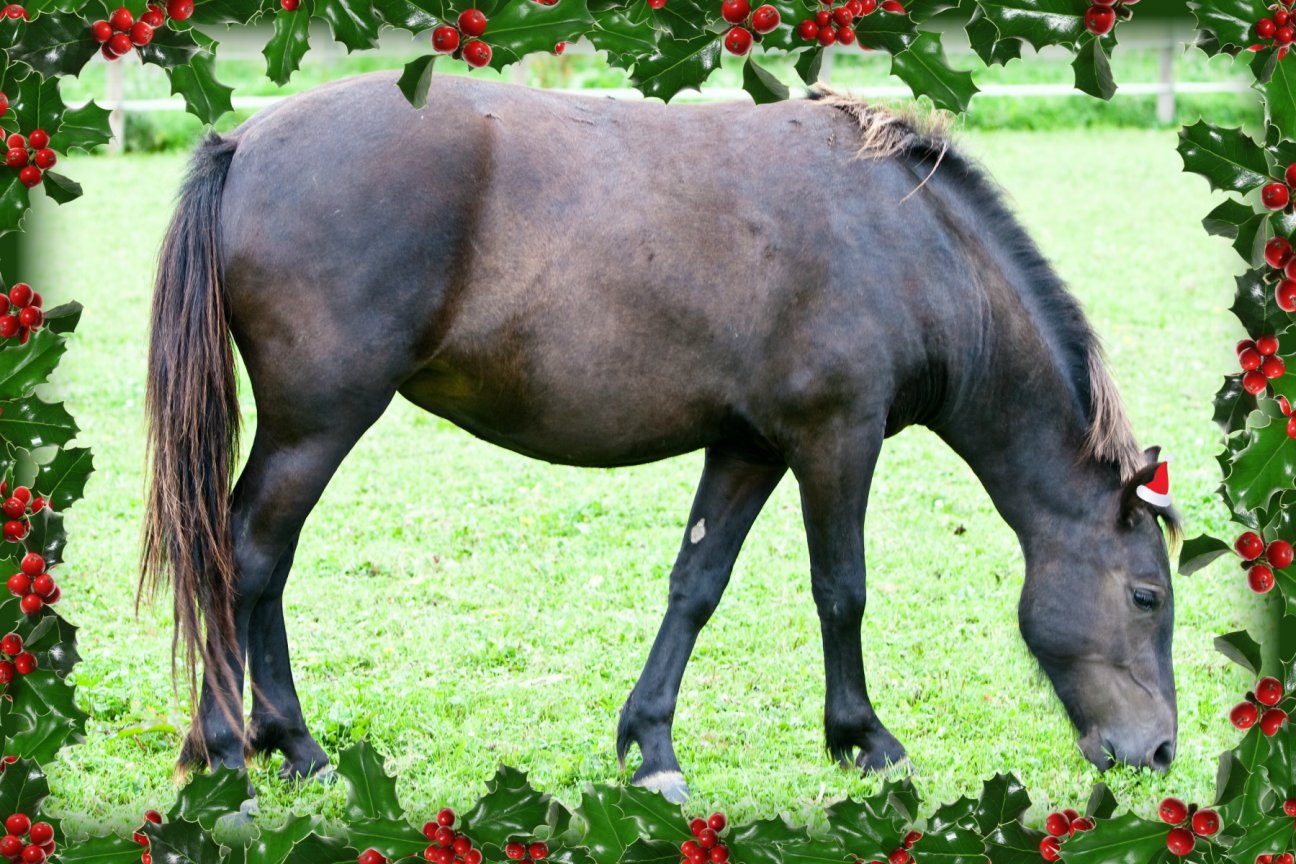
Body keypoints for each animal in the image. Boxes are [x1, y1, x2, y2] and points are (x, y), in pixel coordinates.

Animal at [141, 73, 1181, 803]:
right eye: (1146, 596)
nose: (1161, 749)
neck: (907, 244)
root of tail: (245, 140)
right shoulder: (836, 439)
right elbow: (842, 591)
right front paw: (863, 739)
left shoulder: (750, 448)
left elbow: (696, 586)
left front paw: (650, 748)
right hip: (318, 425)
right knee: (244, 555)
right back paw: (234, 750)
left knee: (262, 566)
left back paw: (291, 748)